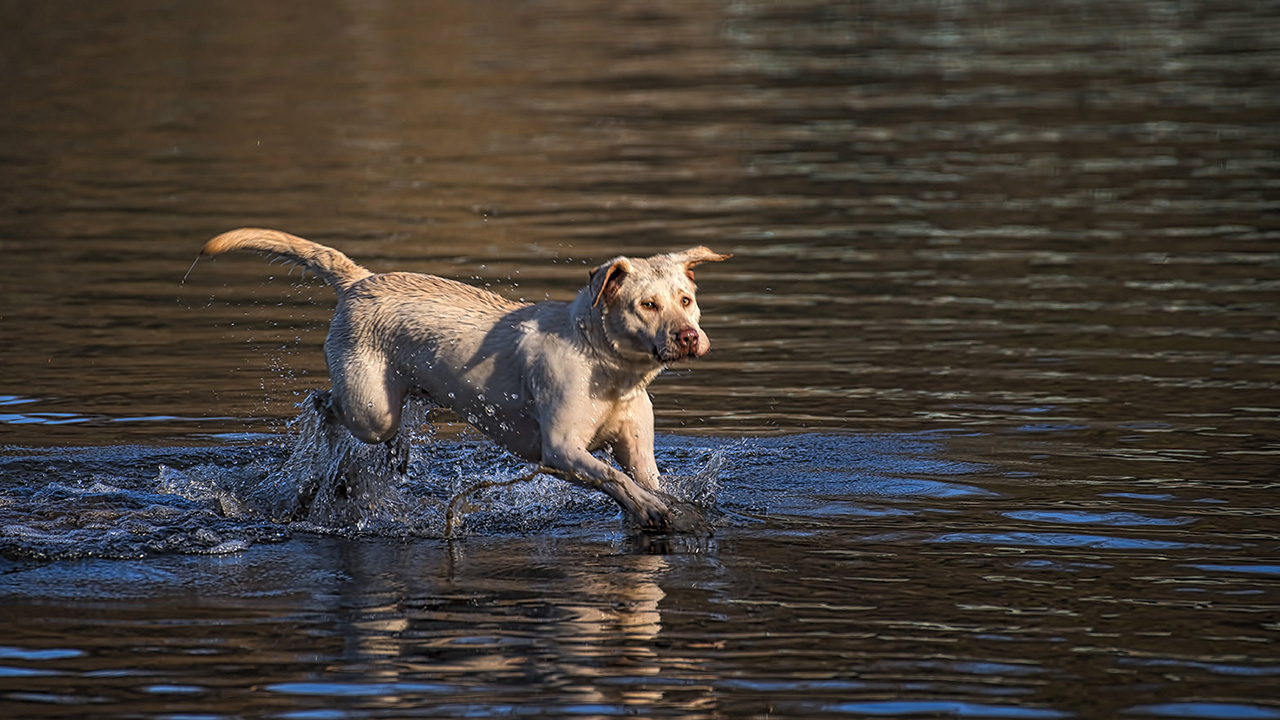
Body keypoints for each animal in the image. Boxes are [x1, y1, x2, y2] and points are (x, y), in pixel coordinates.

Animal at [194, 226, 727, 530]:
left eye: (685, 299)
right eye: (647, 305)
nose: (688, 336)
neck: (607, 366)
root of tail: (360, 281)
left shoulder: (635, 445)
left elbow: (644, 478)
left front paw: (661, 504)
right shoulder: (561, 450)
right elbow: (614, 477)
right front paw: (651, 509)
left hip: (400, 397)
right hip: (370, 410)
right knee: (324, 405)